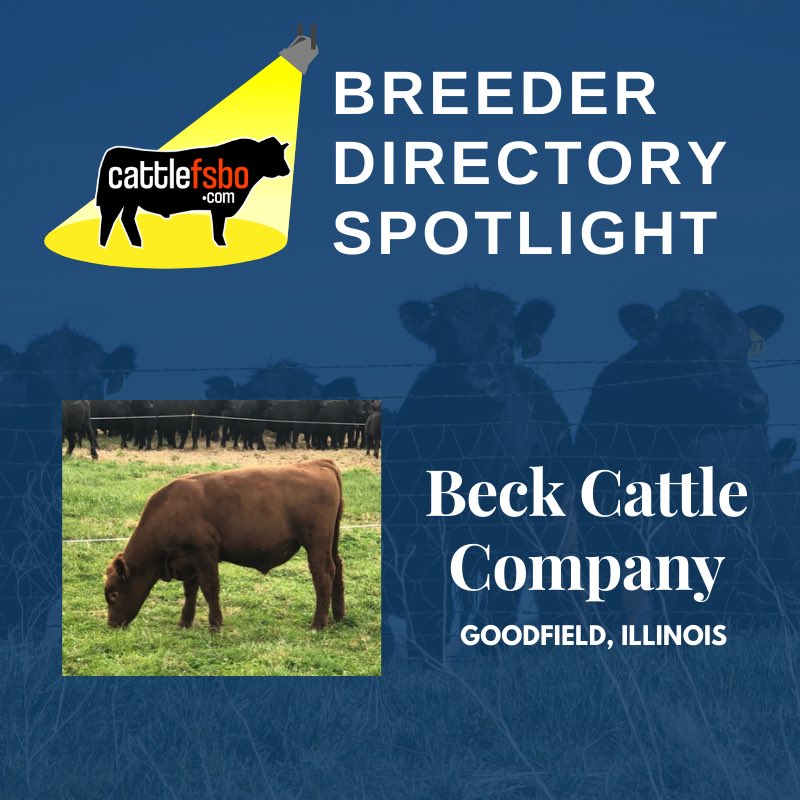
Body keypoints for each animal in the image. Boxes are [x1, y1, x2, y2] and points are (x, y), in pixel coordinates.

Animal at [96, 137, 291, 247]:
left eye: (281, 153)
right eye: (272, 154)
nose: (287, 170)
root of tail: (113, 152)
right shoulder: (219, 206)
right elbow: (218, 227)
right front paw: (221, 244)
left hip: (130, 202)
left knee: (125, 219)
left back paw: (136, 243)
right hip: (115, 200)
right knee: (109, 220)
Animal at [103, 461, 344, 631]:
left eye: (113, 593)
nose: (112, 624)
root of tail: (319, 463)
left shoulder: (204, 552)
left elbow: (210, 588)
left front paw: (215, 625)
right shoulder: (189, 560)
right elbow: (190, 591)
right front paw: (184, 623)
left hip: (316, 542)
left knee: (323, 573)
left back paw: (318, 624)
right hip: (331, 541)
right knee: (338, 567)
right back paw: (339, 616)